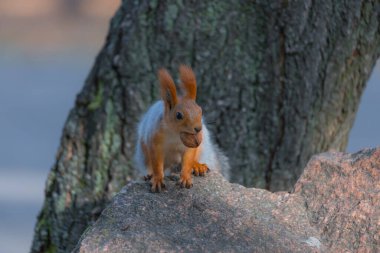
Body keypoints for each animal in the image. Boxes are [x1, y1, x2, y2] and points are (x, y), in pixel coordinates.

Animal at [134, 64, 229, 192]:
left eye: (201, 110)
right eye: (178, 115)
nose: (198, 128)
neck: (176, 134)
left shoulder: (191, 145)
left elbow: (188, 159)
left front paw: (185, 178)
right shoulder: (154, 140)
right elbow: (157, 163)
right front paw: (157, 179)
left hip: (203, 146)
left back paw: (197, 166)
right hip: (143, 150)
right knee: (148, 164)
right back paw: (148, 174)